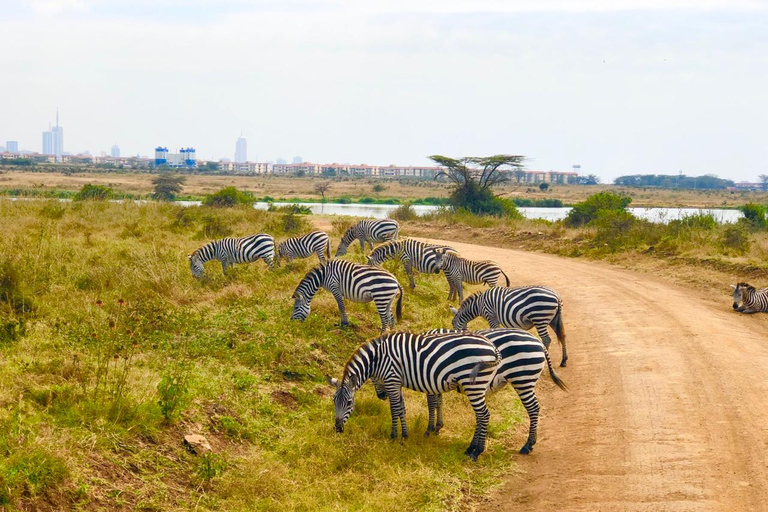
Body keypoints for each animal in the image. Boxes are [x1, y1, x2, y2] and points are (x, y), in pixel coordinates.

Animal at [328, 330, 500, 462]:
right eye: (333, 402)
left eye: (349, 403)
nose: (338, 429)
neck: (378, 359)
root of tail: (492, 347)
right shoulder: (396, 382)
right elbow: (401, 409)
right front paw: (404, 435)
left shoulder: (391, 380)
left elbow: (394, 409)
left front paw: (394, 436)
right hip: (477, 386)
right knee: (480, 415)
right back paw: (470, 449)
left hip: (474, 384)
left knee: (484, 415)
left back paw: (477, 451)